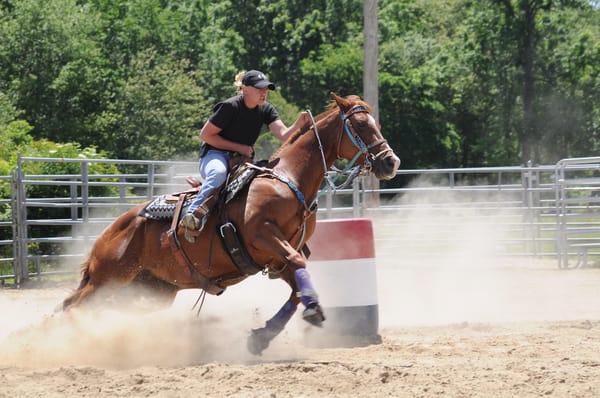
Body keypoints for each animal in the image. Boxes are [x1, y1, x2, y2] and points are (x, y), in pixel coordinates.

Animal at [61, 93, 400, 354]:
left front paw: (261, 337)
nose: (390, 162)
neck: (288, 179)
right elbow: (298, 264)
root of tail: (111, 230)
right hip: (109, 278)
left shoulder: (280, 256)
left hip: (149, 290)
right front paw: (314, 310)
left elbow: (296, 288)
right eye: (360, 125)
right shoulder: (264, 236)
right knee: (72, 306)